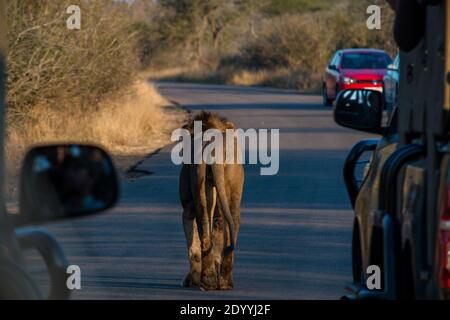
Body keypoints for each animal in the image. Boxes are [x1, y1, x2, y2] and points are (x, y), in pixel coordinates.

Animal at [178, 111, 243, 292]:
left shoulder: (187, 207)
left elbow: (193, 247)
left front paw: (191, 280)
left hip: (200, 185)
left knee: (205, 235)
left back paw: (208, 281)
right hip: (232, 186)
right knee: (228, 227)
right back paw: (224, 281)